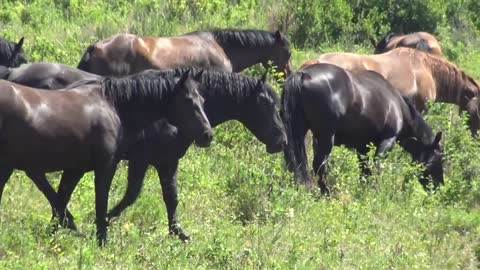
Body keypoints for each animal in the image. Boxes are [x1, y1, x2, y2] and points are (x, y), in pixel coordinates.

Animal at [284, 63, 444, 193]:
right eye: (438, 157)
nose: (438, 186)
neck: (398, 104)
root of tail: (303, 75)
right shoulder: (387, 140)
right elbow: (377, 167)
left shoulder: (363, 147)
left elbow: (365, 170)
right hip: (325, 137)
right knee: (320, 166)